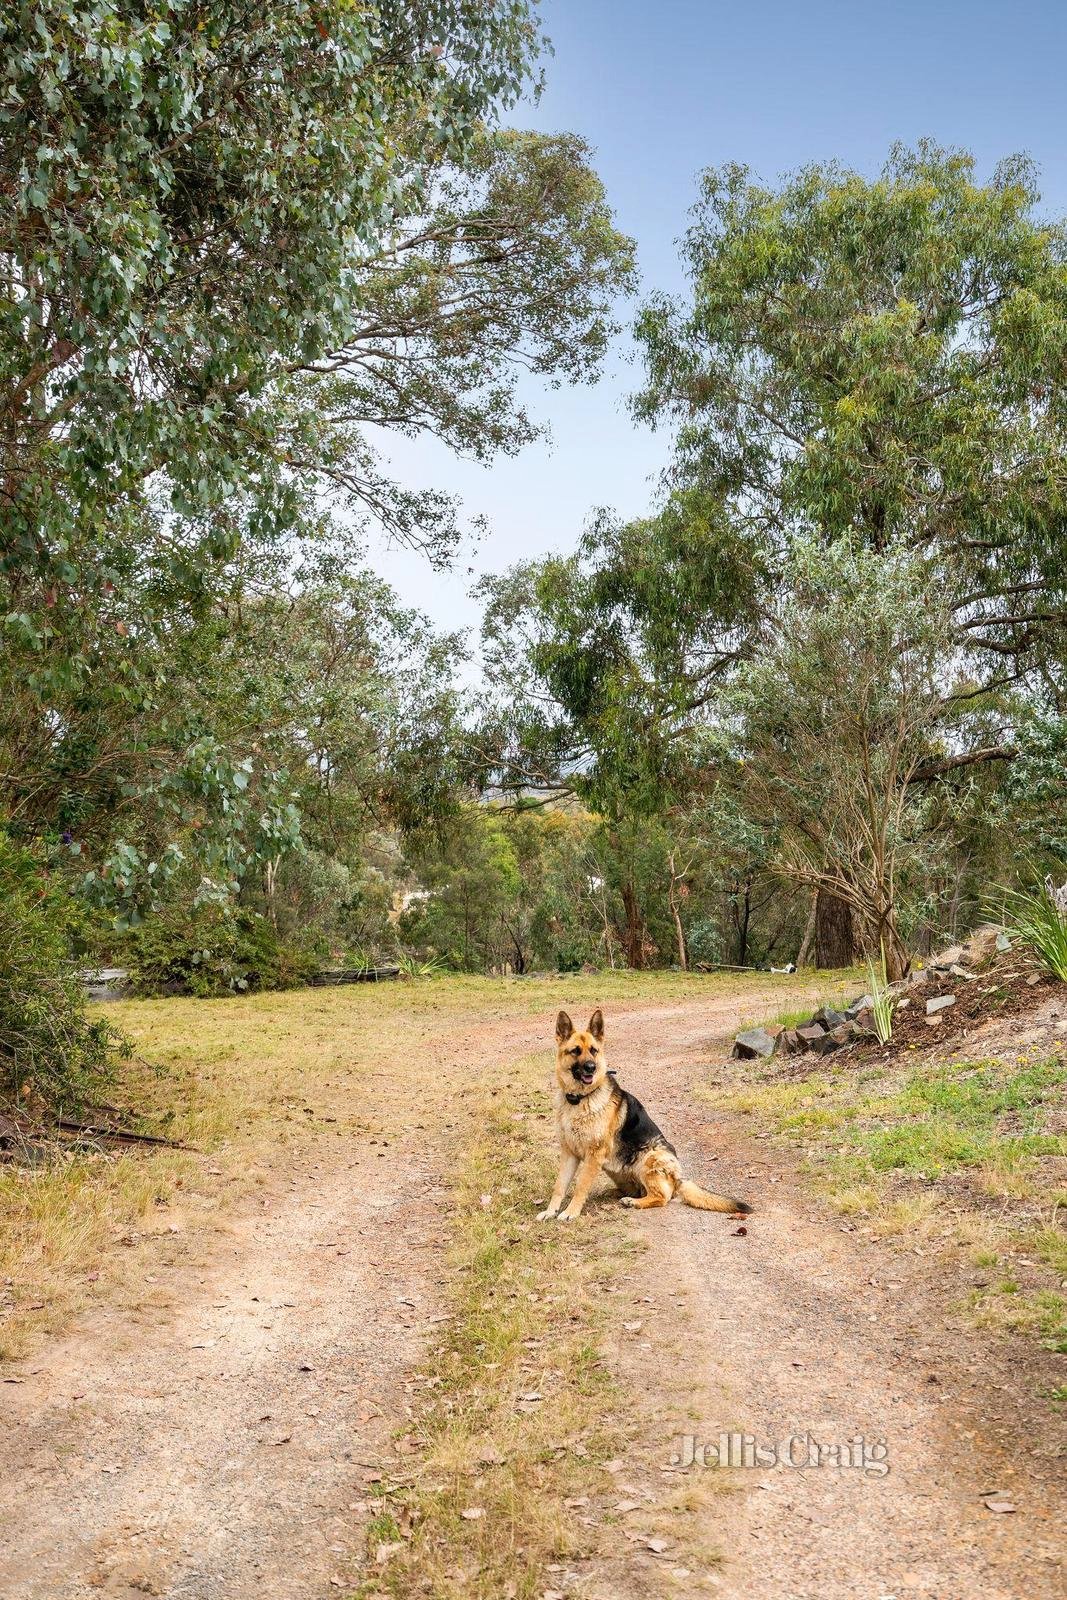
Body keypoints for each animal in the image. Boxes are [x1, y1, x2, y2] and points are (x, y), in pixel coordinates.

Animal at [537, 1011, 755, 1222]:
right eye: (575, 1051)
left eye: (594, 1050)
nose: (591, 1068)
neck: (580, 1099)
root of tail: (678, 1178)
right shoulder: (569, 1153)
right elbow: (559, 1186)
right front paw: (550, 1211)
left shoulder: (594, 1155)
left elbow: (581, 1186)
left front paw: (571, 1212)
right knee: (637, 1190)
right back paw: (615, 1193)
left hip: (650, 1157)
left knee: (662, 1197)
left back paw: (634, 1202)